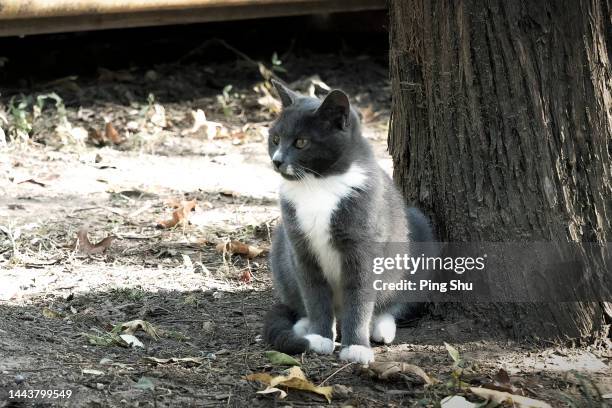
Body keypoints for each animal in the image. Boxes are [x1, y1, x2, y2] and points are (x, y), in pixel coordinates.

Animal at [264, 79, 436, 364]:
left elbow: (360, 297)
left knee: (395, 302)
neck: (318, 185)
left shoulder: (363, 249)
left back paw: (381, 327)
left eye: (301, 142)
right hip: (279, 247)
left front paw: (357, 347)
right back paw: (304, 325)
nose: (277, 160)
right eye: (275, 139)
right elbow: (314, 293)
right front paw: (320, 337)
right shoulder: (301, 247)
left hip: (419, 234)